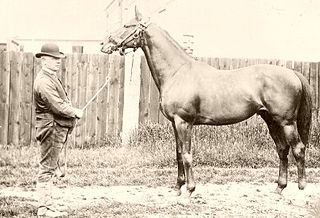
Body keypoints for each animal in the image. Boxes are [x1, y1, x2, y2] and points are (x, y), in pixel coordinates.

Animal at [100, 6, 312, 196]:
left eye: (127, 25)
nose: (104, 44)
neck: (177, 72)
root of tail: (292, 72)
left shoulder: (184, 122)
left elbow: (187, 155)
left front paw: (189, 190)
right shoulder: (175, 124)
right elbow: (178, 154)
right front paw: (177, 188)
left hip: (286, 122)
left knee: (298, 149)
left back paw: (301, 189)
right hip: (271, 120)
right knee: (282, 149)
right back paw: (279, 188)